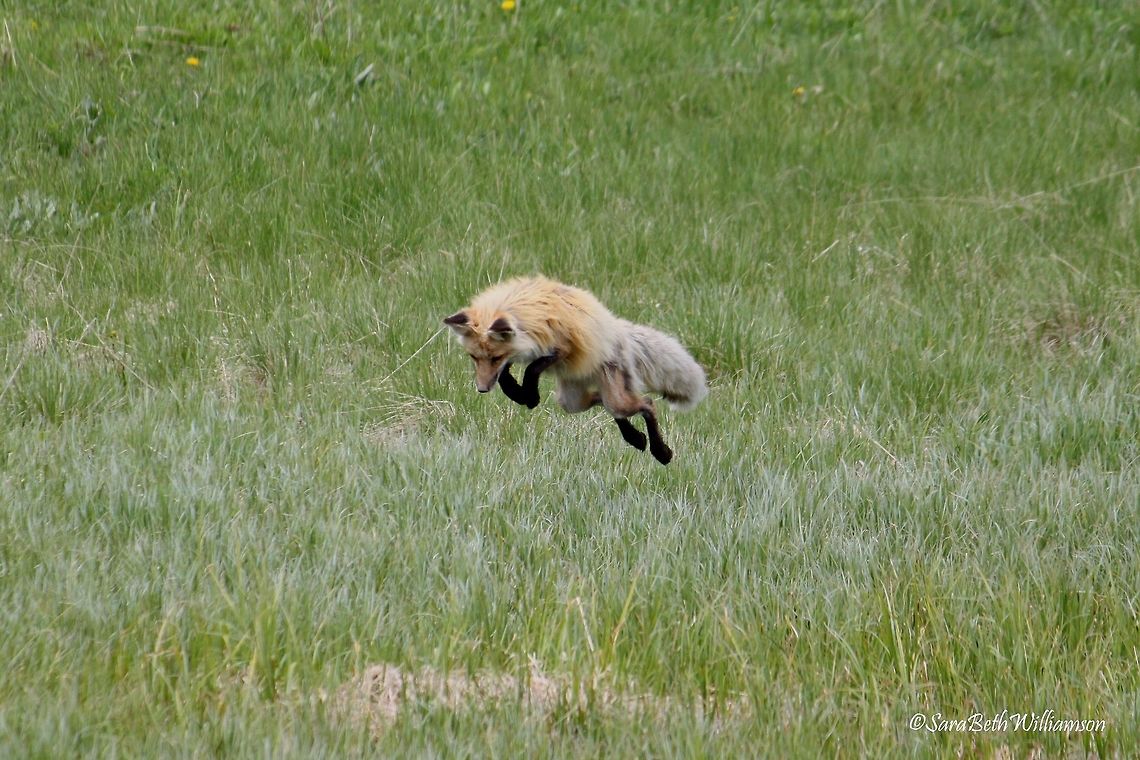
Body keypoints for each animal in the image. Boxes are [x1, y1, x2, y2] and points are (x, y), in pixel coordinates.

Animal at [443, 276, 707, 465]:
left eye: (495, 357)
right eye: (474, 357)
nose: (481, 389)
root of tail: (618, 332)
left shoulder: (562, 348)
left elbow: (532, 369)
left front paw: (529, 395)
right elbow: (507, 377)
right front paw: (519, 393)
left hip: (613, 396)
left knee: (647, 404)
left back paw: (660, 450)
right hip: (571, 401)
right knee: (606, 402)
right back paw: (635, 438)